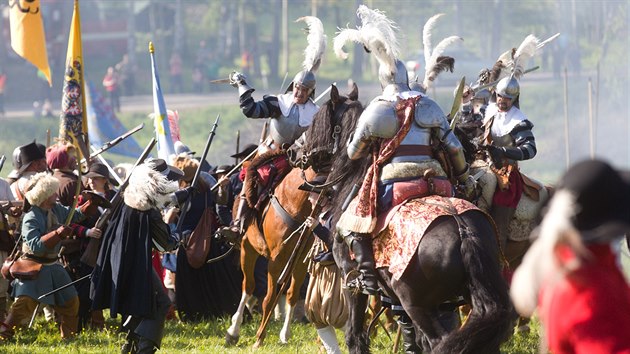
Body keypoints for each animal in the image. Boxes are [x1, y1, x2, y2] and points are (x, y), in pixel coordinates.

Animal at [225, 162, 318, 346]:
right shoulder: (276, 261)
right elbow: (268, 300)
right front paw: (259, 338)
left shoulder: (300, 262)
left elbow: (292, 295)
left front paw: (285, 334)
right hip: (248, 249)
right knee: (248, 286)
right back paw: (234, 330)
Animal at [298, 84, 516, 352]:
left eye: (318, 121)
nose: (297, 153)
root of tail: (464, 230)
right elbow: (412, 339)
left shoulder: (352, 280)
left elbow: (355, 335)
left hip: (416, 303)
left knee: (439, 341)